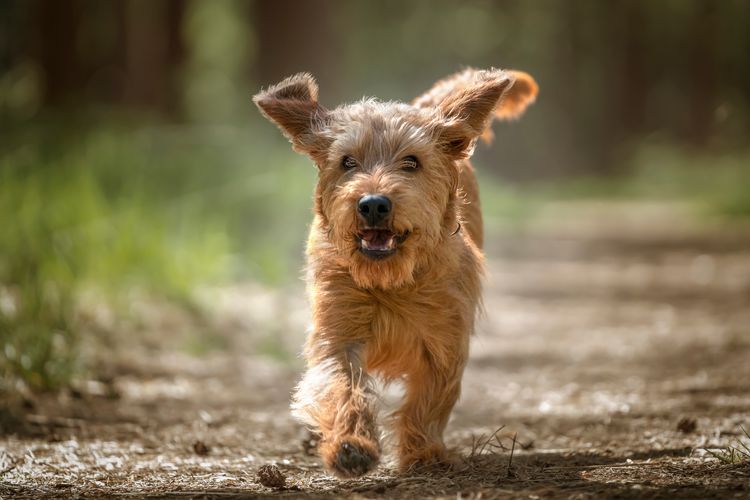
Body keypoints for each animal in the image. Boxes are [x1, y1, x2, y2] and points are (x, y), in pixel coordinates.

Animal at [256, 68, 536, 478]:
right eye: (348, 162)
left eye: (412, 162)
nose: (373, 204)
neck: (388, 282)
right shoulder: (338, 334)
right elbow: (341, 386)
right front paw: (350, 446)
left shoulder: (445, 341)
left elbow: (429, 399)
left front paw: (423, 454)